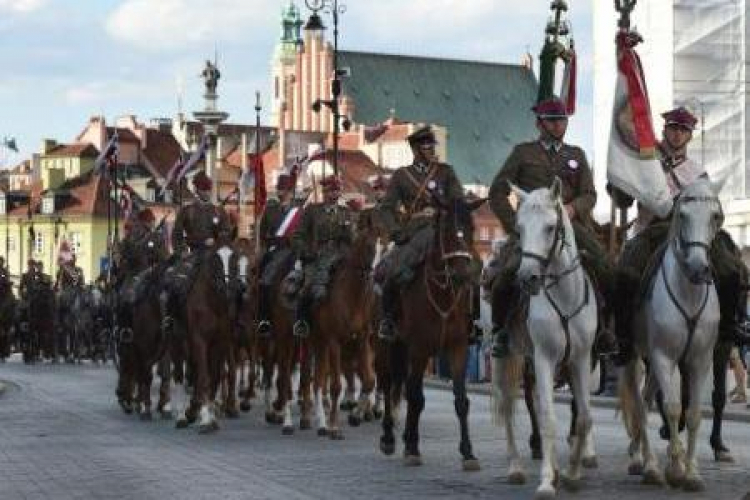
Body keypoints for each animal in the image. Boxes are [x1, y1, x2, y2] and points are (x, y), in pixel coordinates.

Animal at [378, 197, 478, 470]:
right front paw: (412, 448)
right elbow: (415, 397)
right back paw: (389, 437)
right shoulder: (419, 349)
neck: (442, 293)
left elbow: (461, 400)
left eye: (472, 229)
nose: (463, 274)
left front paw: (468, 452)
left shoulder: (458, 347)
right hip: (387, 345)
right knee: (388, 384)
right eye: (447, 232)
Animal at [494, 178, 600, 498]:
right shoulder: (544, 357)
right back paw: (516, 467)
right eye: (519, 228)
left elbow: (583, 416)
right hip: (507, 358)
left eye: (551, 227)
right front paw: (545, 482)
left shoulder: (581, 359)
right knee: (508, 407)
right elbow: (549, 419)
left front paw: (572, 473)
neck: (564, 296)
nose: (526, 278)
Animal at [620, 178, 724, 490]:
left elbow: (693, 414)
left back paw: (642, 457)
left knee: (646, 398)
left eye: (715, 216)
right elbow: (673, 407)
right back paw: (648, 465)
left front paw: (692, 473)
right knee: (640, 404)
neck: (688, 292)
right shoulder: (664, 357)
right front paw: (675, 468)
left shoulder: (700, 360)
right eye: (683, 215)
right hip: (635, 356)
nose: (699, 268)